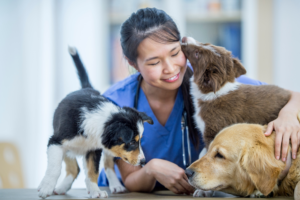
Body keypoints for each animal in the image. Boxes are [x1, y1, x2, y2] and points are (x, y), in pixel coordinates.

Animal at [37, 48, 154, 198]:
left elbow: (93, 171)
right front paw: (46, 188)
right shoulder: (56, 141)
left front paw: (95, 191)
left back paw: (116, 186)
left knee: (107, 165)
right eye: (132, 142)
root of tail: (85, 88)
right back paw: (61, 187)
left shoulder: (93, 150)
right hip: (68, 147)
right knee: (75, 168)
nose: (144, 162)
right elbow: (55, 168)